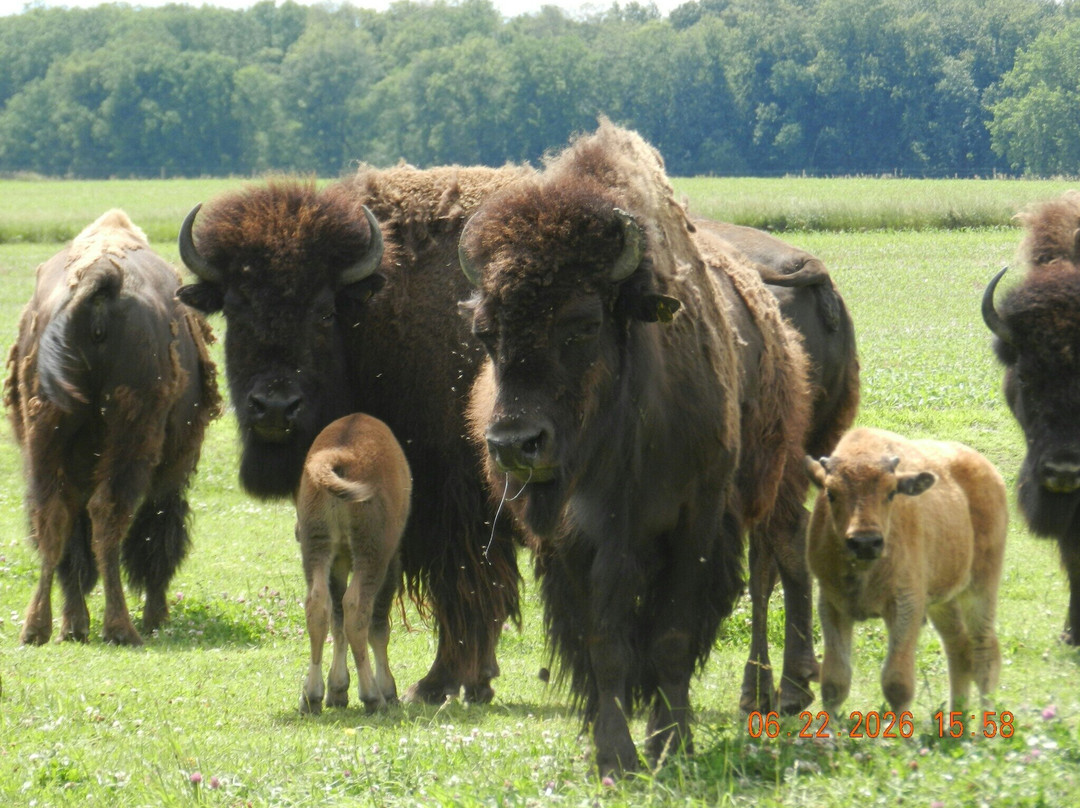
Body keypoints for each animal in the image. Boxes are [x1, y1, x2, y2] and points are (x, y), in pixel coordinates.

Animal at [5, 210, 220, 646]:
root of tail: (100, 280)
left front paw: (73, 623)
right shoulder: (171, 472)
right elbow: (157, 535)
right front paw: (155, 615)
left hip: (44, 433)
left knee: (54, 518)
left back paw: (41, 628)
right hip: (132, 436)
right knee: (110, 515)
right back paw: (122, 628)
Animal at [176, 168, 530, 702]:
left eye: (324, 312)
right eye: (235, 311)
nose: (274, 407)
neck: (378, 310)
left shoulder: (452, 508)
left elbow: (462, 588)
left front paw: (441, 683)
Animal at [459, 122, 810, 775]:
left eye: (583, 324)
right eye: (486, 332)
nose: (516, 445)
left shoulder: (695, 524)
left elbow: (670, 638)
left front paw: (670, 745)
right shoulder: (575, 543)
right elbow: (605, 646)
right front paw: (614, 756)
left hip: (771, 482)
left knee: (776, 564)